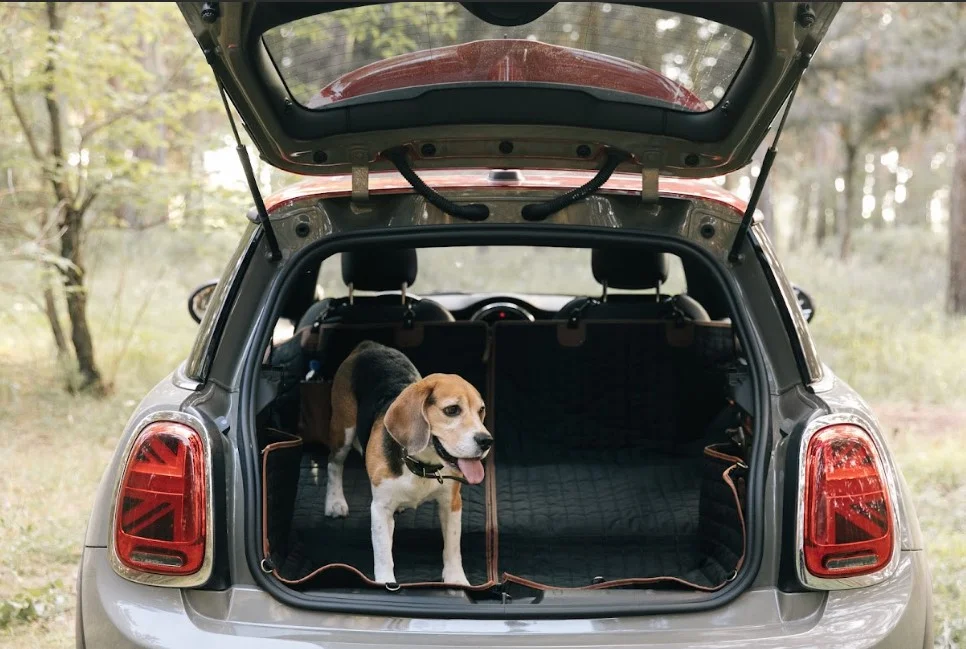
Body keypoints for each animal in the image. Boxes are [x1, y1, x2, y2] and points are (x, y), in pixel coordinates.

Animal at [326, 342, 492, 584]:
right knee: (334, 464)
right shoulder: (380, 508)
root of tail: (369, 345)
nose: (486, 441)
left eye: (481, 410)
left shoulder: (451, 503)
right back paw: (335, 502)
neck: (422, 465)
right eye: (452, 410)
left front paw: (456, 579)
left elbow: (452, 547)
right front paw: (385, 583)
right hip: (343, 430)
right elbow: (383, 553)